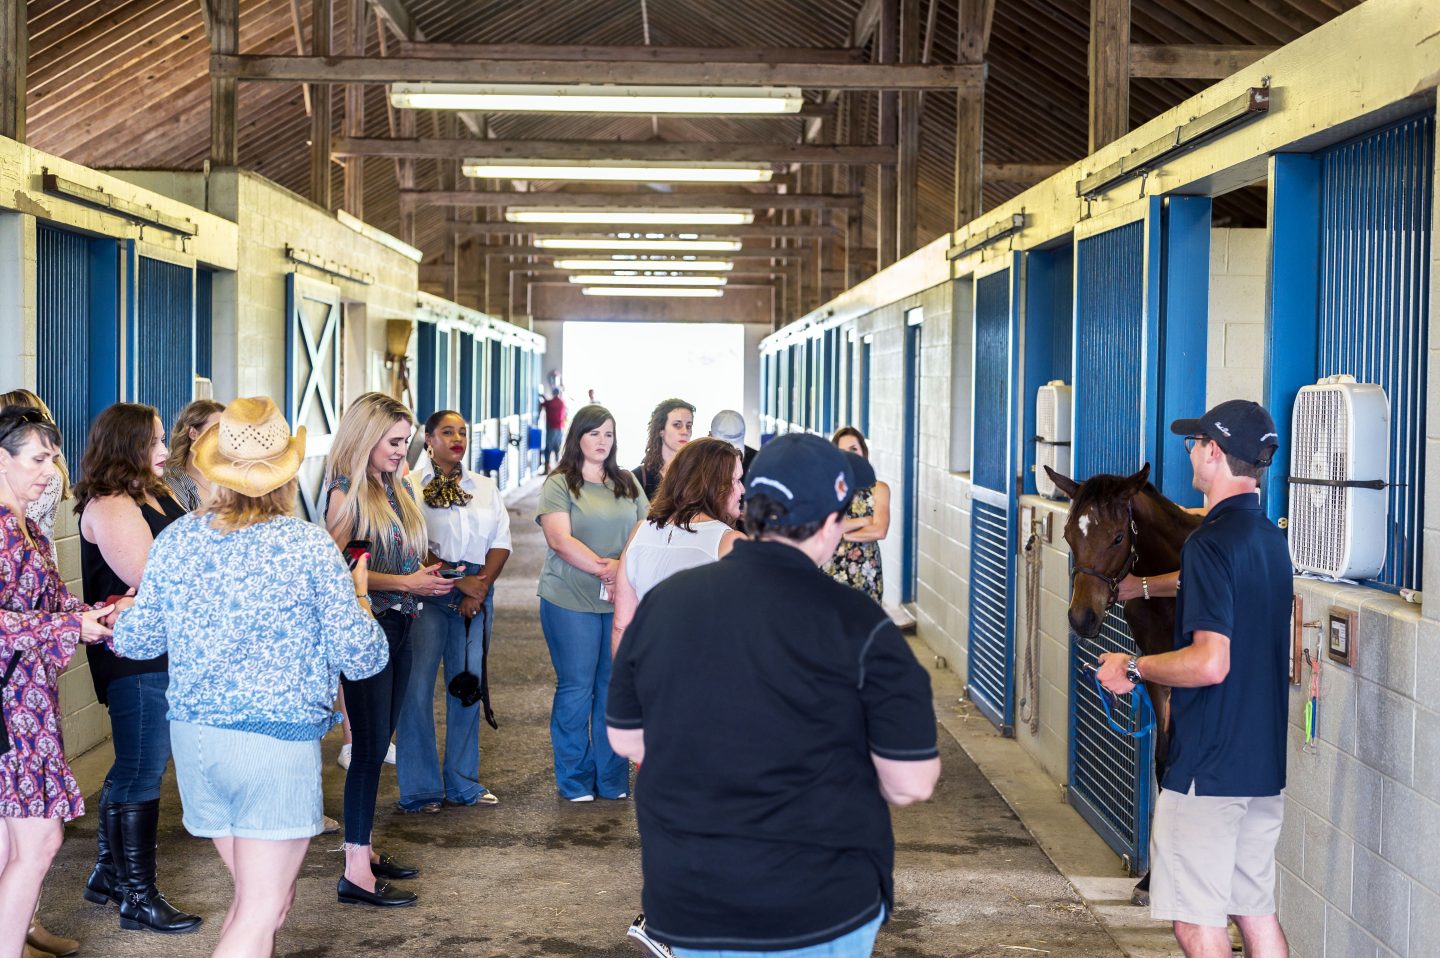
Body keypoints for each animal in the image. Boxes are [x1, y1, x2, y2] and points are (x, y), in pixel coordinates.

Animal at [1042, 463, 1198, 904]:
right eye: (1068, 535)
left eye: (1116, 537)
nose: (1081, 619)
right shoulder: (1160, 678)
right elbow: (1165, 763)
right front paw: (1152, 882)